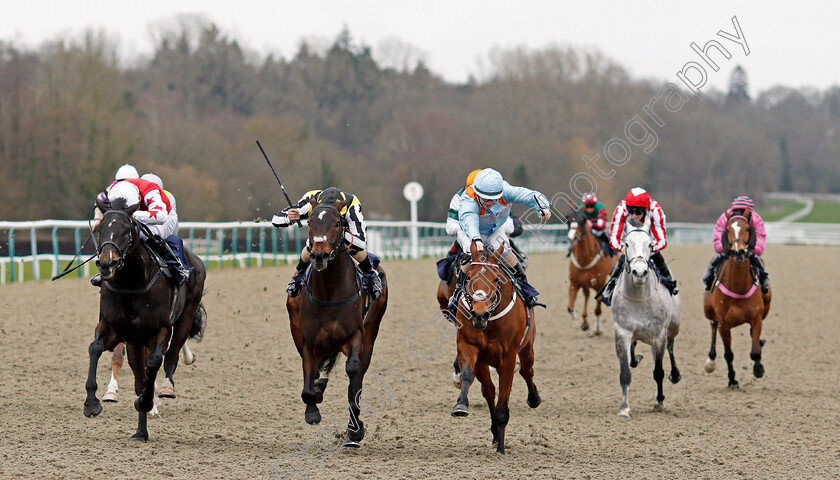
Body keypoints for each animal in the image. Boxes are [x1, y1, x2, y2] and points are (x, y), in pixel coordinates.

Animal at [284, 199, 386, 446]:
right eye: (310, 223)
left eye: (338, 224)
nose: (319, 255)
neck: (328, 292)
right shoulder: (308, 341)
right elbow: (308, 382)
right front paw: (313, 409)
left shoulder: (355, 335)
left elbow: (353, 372)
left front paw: (355, 429)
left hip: (372, 330)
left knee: (359, 374)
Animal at [450, 244, 540, 454]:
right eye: (469, 277)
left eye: (496, 279)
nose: (479, 314)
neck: (490, 322)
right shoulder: (469, 347)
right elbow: (468, 375)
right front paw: (460, 405)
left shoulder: (507, 357)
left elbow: (503, 401)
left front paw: (501, 448)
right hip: (483, 362)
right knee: (489, 390)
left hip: (527, 347)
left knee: (527, 370)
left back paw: (534, 399)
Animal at [612, 217, 684, 416]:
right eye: (626, 243)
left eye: (650, 244)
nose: (639, 272)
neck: (639, 297)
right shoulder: (622, 332)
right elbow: (625, 372)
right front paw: (624, 408)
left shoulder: (659, 335)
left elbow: (658, 371)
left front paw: (660, 402)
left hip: (673, 326)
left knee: (671, 347)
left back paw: (675, 375)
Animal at [704, 212, 776, 388]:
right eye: (728, 229)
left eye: (747, 228)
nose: (738, 252)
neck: (738, 287)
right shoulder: (724, 324)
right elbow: (728, 354)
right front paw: (732, 379)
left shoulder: (756, 318)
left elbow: (755, 350)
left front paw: (758, 368)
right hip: (709, 311)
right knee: (713, 326)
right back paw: (711, 360)